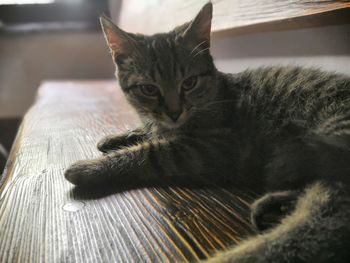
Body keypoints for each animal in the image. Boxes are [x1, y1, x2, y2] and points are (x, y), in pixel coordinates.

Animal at [64, 2, 348, 263]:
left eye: (189, 83)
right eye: (149, 89)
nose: (175, 112)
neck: (215, 93)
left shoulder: (208, 147)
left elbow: (150, 152)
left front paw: (92, 166)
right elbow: (149, 131)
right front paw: (117, 137)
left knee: (317, 227)